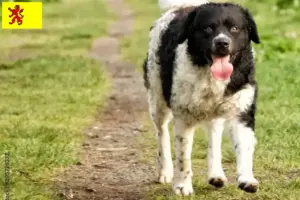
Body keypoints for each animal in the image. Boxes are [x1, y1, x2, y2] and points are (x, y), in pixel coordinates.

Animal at [143, 0, 260, 195]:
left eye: (235, 28)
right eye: (207, 28)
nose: (222, 43)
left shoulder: (241, 111)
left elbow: (244, 147)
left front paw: (247, 179)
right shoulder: (183, 116)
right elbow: (183, 156)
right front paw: (182, 185)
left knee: (214, 134)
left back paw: (216, 174)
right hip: (157, 99)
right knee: (162, 133)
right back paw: (165, 171)